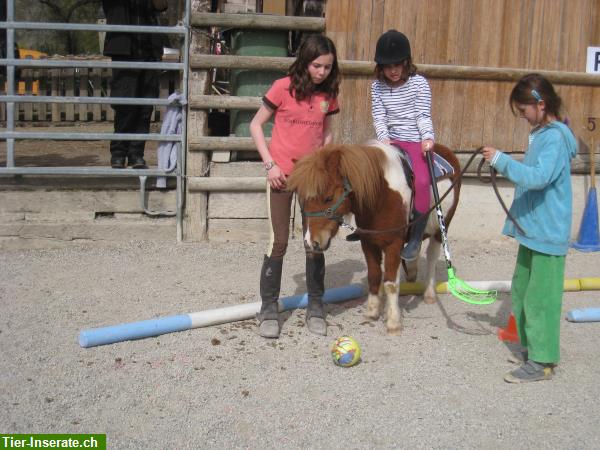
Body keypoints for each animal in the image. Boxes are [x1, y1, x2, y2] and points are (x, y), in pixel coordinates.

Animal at [284, 142, 460, 336]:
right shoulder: (368, 243)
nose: (311, 242)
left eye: (328, 197)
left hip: (441, 228)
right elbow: (374, 276)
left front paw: (393, 322)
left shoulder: (393, 245)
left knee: (431, 257)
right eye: (302, 200)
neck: (382, 195)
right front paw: (372, 312)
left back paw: (429, 293)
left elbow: (390, 283)